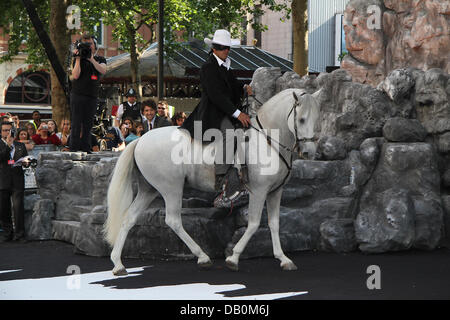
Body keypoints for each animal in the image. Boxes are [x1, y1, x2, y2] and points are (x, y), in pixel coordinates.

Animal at [103, 89, 320, 276]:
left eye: (316, 119)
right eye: (301, 119)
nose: (309, 152)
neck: (268, 140)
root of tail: (140, 140)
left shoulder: (275, 191)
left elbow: (274, 224)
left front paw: (283, 259)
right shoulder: (258, 191)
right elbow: (253, 224)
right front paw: (233, 258)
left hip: (149, 190)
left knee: (129, 218)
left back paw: (118, 264)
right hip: (171, 188)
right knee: (173, 220)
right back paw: (203, 257)